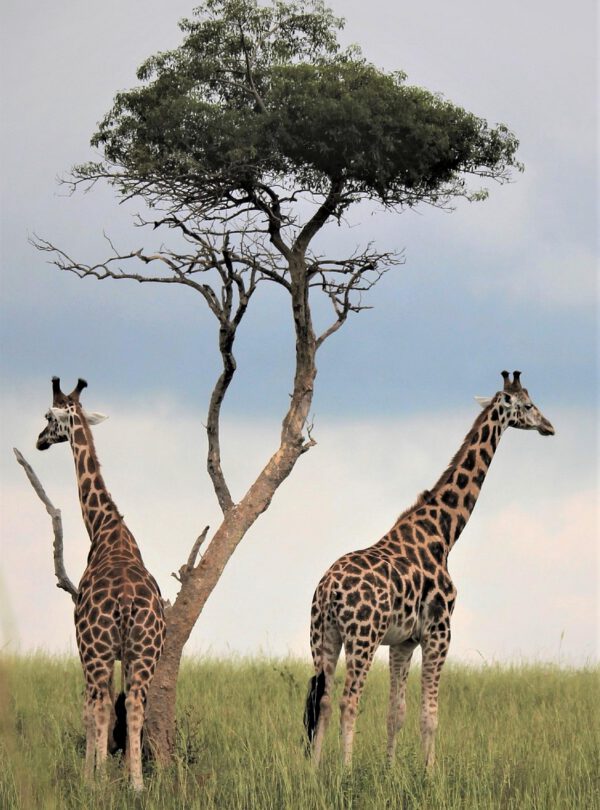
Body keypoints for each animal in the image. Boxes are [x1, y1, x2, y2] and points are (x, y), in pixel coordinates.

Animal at [36, 377, 166, 791]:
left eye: (50, 417)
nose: (39, 441)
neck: (105, 527)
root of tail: (125, 601)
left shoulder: (86, 648)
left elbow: (92, 708)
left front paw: (92, 775)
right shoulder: (124, 654)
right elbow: (118, 705)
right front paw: (120, 772)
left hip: (96, 650)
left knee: (99, 703)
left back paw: (100, 781)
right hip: (145, 650)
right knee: (135, 702)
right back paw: (137, 784)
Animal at [304, 371, 554, 769]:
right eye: (529, 405)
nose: (549, 426)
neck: (443, 533)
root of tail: (328, 590)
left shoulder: (403, 640)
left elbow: (396, 713)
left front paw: (390, 771)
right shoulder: (439, 632)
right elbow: (430, 715)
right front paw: (429, 773)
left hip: (323, 635)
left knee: (324, 700)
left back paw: (312, 772)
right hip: (362, 636)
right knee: (348, 700)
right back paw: (344, 771)